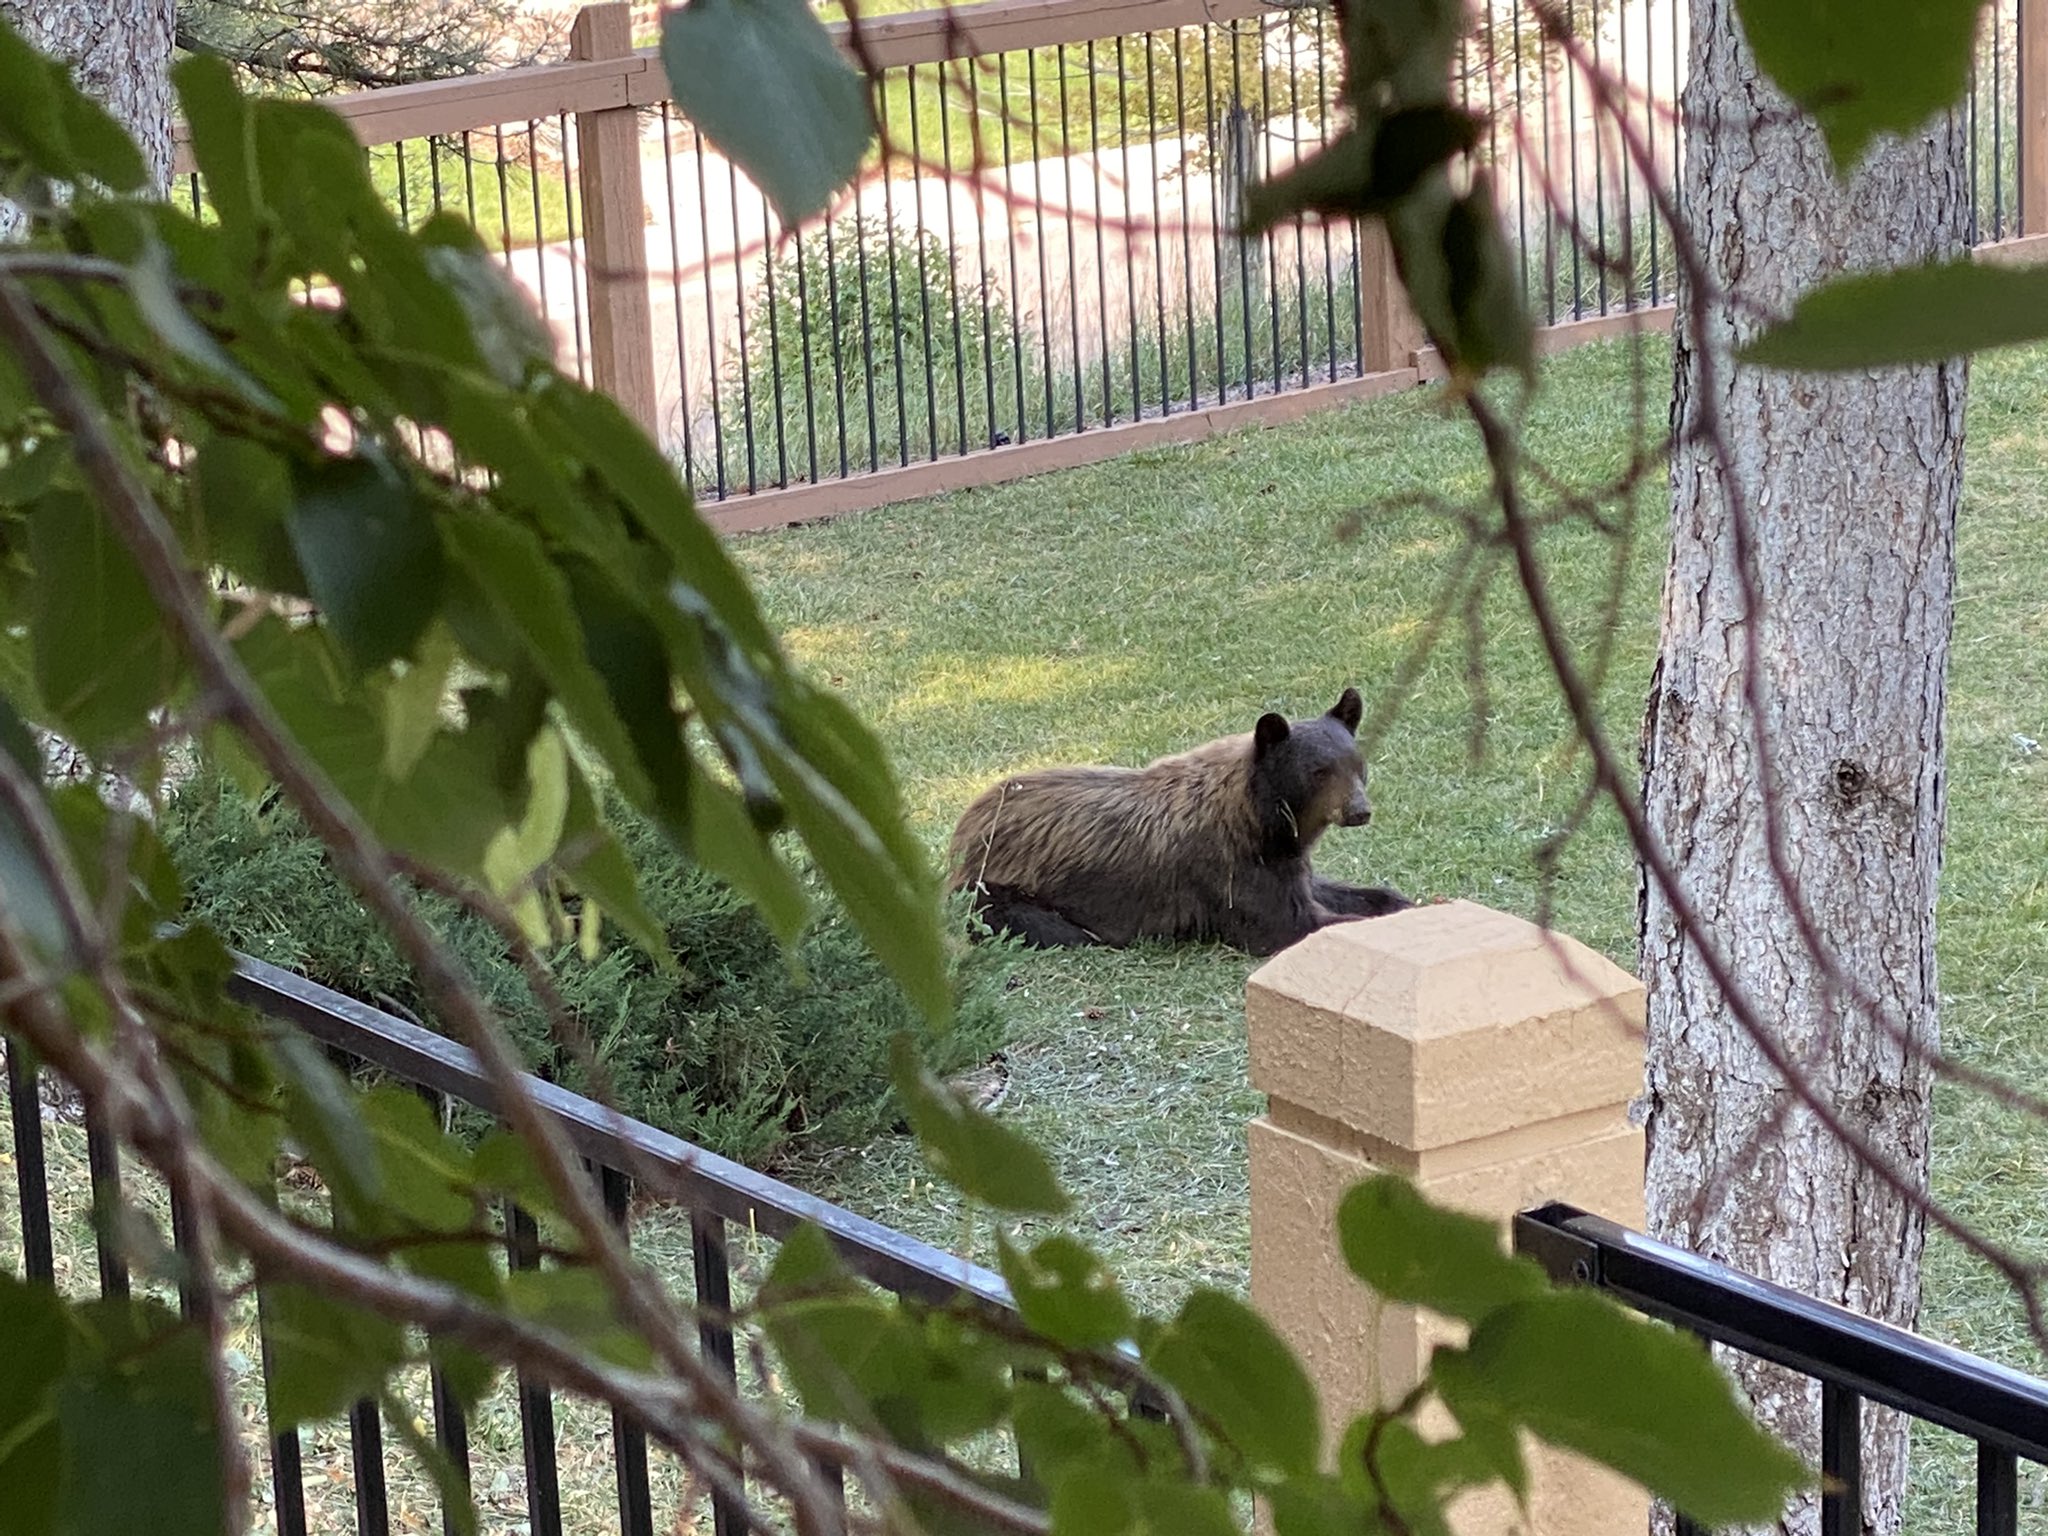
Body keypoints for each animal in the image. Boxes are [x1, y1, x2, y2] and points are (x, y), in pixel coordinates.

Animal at [947, 687, 1411, 956]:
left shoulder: (1283, 861)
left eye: (1357, 762)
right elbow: (1291, 925)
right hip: (997, 892)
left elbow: (1337, 892)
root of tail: (963, 829)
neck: (1257, 819)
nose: (1359, 811)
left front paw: (1402, 902)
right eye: (1318, 771)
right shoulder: (1229, 872)